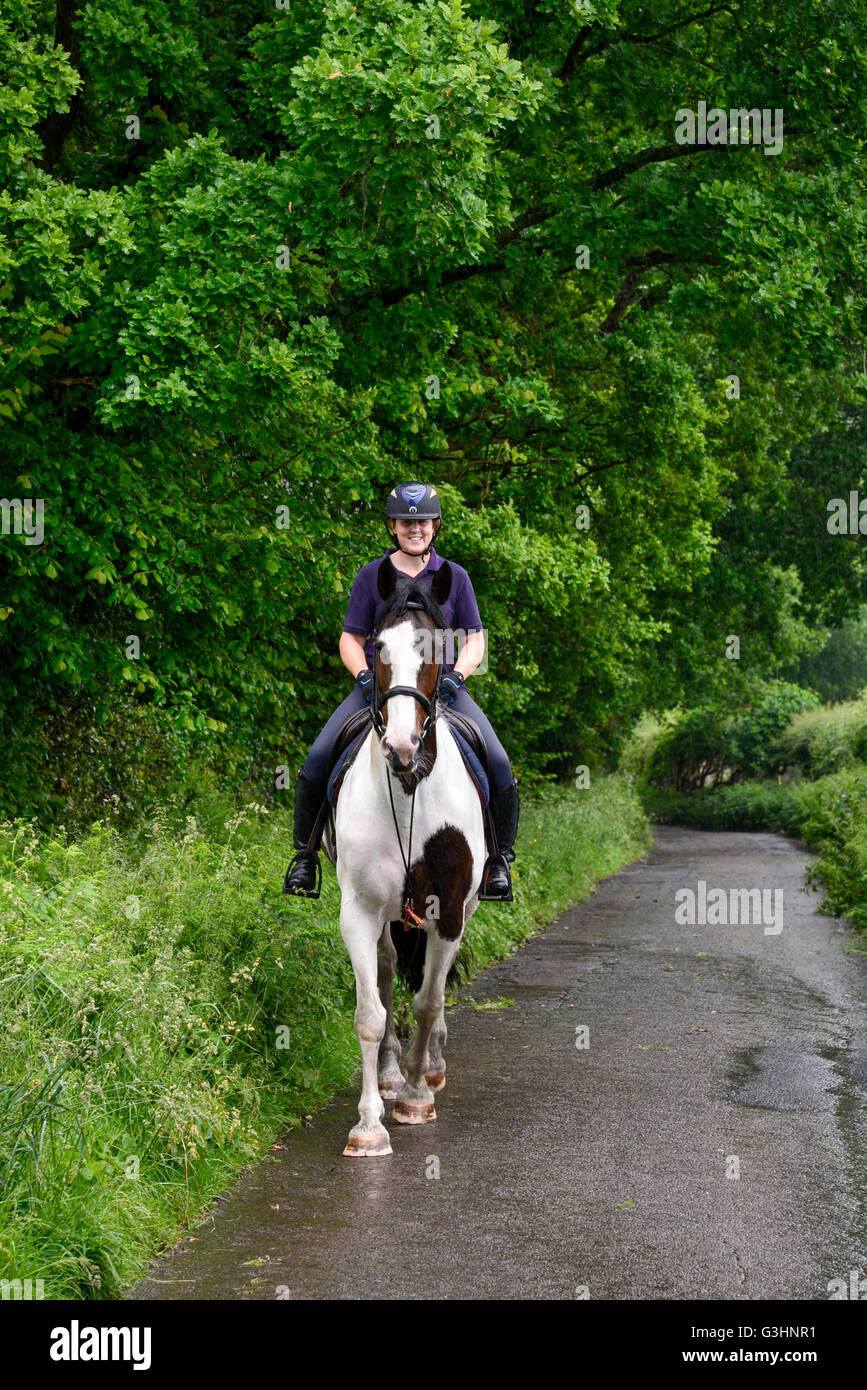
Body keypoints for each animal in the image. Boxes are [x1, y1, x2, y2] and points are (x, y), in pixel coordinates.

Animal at [322, 553, 489, 1150]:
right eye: (377, 646)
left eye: (438, 648)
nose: (400, 747)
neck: (410, 788)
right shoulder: (358, 910)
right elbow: (370, 1012)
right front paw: (370, 1122)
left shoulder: (450, 904)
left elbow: (429, 999)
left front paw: (418, 1094)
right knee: (391, 967)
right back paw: (394, 1071)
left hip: (466, 906)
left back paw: (428, 1067)